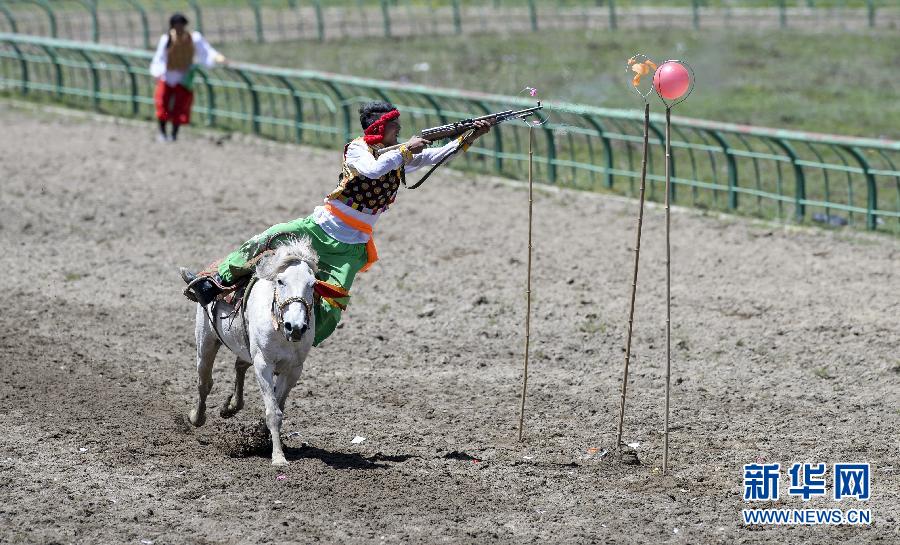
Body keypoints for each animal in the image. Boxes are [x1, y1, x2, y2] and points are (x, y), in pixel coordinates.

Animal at [185, 236, 318, 466]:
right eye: (280, 281)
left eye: (312, 284)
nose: (296, 327)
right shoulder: (263, 364)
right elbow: (273, 412)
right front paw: (278, 457)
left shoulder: (294, 369)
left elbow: (278, 405)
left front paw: (264, 440)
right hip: (206, 342)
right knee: (205, 382)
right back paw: (197, 417)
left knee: (239, 366)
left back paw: (230, 407)